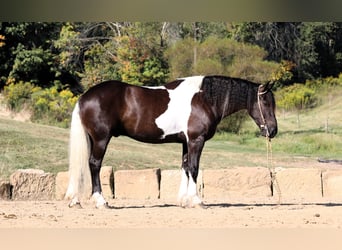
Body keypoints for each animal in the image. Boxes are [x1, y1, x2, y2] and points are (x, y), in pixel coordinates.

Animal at [65, 75, 278, 208]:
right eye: (266, 102)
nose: (273, 130)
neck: (204, 99)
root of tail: (84, 97)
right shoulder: (196, 141)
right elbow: (194, 168)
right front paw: (196, 200)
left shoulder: (185, 142)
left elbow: (185, 167)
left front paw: (184, 200)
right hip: (101, 139)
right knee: (95, 164)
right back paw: (101, 201)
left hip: (92, 139)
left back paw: (76, 200)